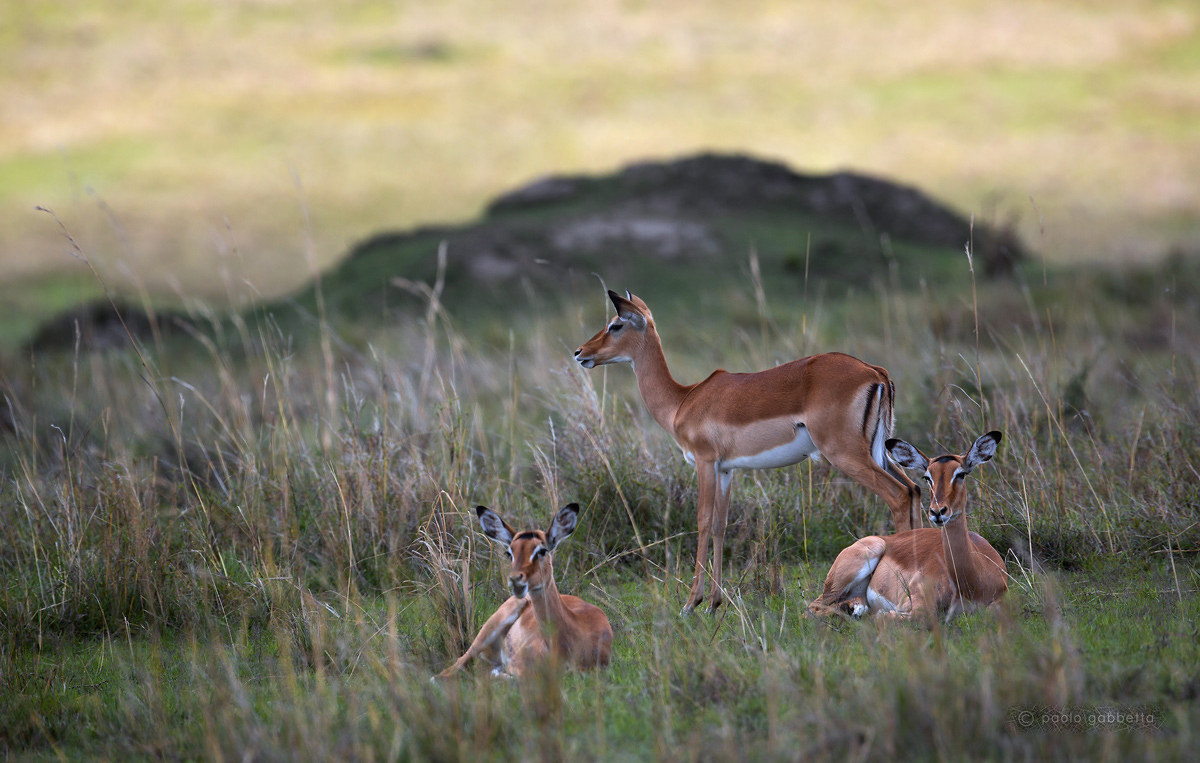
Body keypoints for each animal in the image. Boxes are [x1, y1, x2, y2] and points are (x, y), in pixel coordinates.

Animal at [574, 290, 921, 614]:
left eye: (616, 324)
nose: (580, 352)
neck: (683, 401)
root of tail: (875, 372)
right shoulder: (726, 469)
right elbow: (720, 524)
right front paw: (714, 602)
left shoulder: (705, 462)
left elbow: (702, 520)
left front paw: (691, 603)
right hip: (878, 454)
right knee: (914, 489)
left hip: (845, 454)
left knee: (898, 495)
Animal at [806, 431, 1008, 621]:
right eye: (927, 477)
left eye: (961, 474)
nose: (937, 511)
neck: (972, 580)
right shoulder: (914, 603)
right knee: (811, 608)